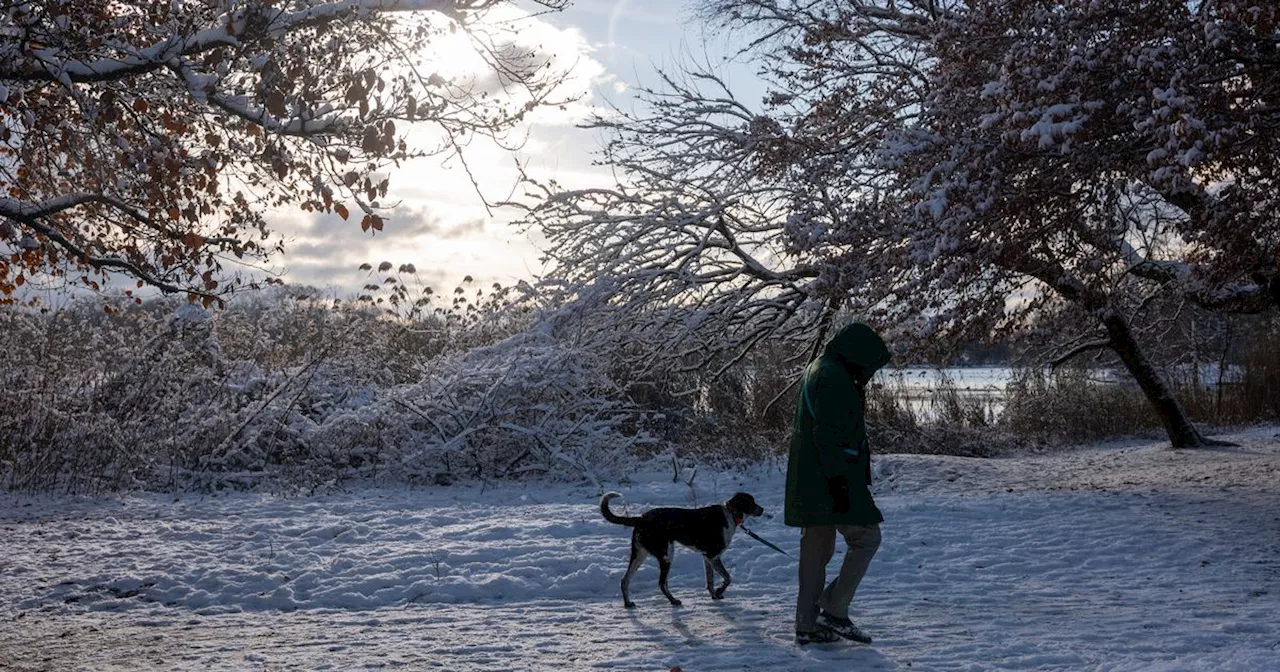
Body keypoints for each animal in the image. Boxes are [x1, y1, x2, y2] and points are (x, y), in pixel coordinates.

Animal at [596, 486, 762, 606]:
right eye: (751, 502)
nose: (763, 510)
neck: (730, 514)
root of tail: (641, 518)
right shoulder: (713, 556)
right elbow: (727, 578)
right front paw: (720, 590)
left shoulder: (707, 558)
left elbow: (710, 581)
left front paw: (715, 595)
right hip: (667, 554)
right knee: (662, 583)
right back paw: (673, 600)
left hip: (639, 556)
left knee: (625, 580)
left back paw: (628, 603)